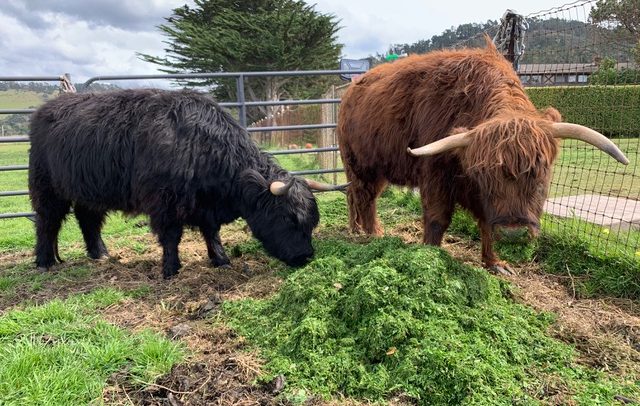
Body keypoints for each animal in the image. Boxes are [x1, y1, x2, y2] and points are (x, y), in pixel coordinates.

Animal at [28, 89, 340, 280]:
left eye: (312, 223)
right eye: (288, 219)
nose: (305, 256)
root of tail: (46, 109)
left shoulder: (206, 207)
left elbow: (211, 234)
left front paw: (221, 260)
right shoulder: (164, 204)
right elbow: (171, 237)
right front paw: (171, 269)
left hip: (89, 190)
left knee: (88, 219)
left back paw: (101, 254)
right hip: (46, 186)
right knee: (47, 221)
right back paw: (44, 262)